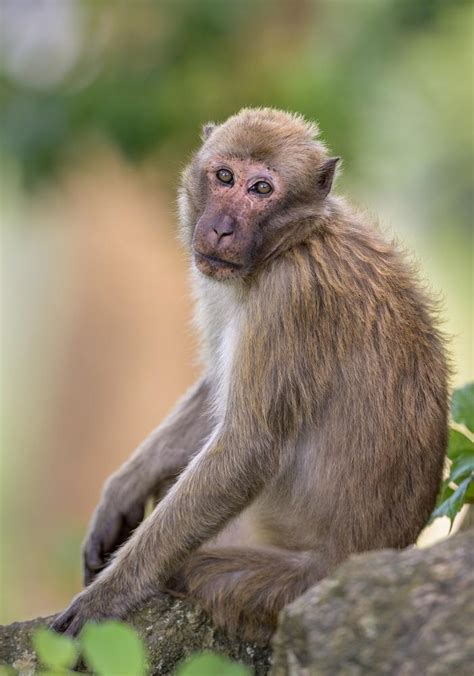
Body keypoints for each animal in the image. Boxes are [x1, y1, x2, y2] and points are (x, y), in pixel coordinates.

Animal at [51, 108, 448, 640]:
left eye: (261, 189)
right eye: (224, 177)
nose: (220, 229)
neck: (291, 243)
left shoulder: (289, 299)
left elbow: (246, 447)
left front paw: (106, 597)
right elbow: (217, 391)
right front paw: (122, 490)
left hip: (273, 583)